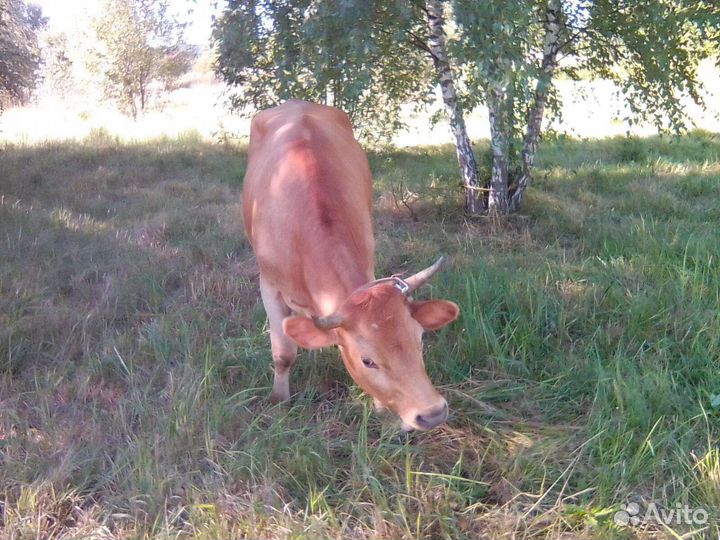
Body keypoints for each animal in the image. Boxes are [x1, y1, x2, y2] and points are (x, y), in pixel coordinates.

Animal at [242, 100, 459, 431]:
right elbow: (283, 353)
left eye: (419, 339)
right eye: (367, 360)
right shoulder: (268, 285)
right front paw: (279, 401)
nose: (433, 413)